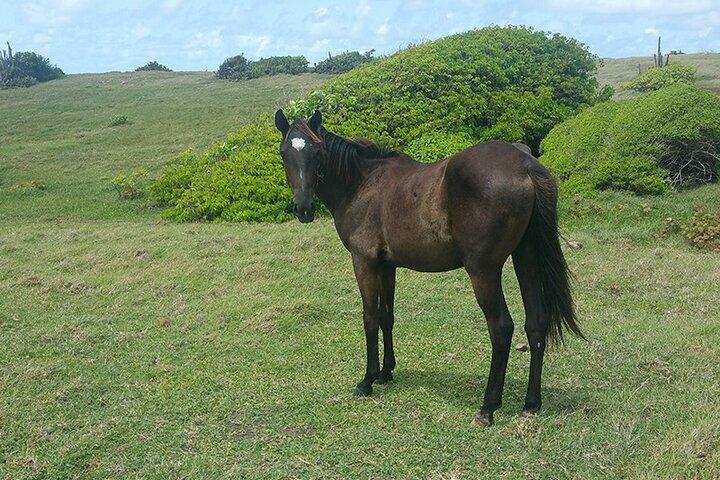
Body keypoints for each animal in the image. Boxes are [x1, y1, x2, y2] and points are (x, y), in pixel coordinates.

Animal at [273, 109, 583, 426]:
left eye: (316, 152)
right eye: (284, 153)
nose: (303, 210)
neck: (362, 185)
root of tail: (525, 163)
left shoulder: (364, 262)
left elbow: (370, 318)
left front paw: (367, 380)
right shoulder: (387, 266)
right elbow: (387, 317)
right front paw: (386, 372)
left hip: (483, 271)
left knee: (501, 328)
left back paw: (487, 407)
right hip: (526, 258)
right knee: (536, 323)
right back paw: (531, 403)